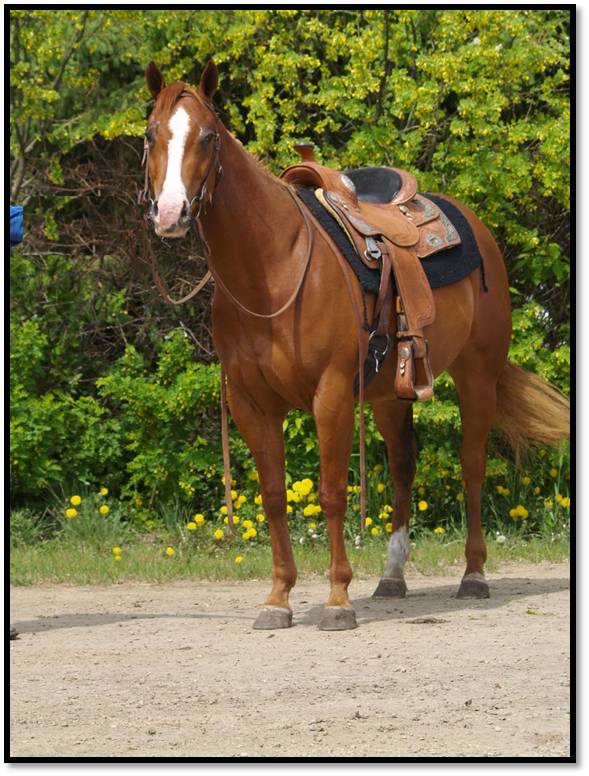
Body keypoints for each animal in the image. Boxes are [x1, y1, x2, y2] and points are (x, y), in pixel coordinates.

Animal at [141, 60, 569, 630]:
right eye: (151, 135)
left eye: (209, 136)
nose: (170, 214)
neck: (272, 268)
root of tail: (476, 227)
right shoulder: (251, 403)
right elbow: (273, 496)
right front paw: (278, 598)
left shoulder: (332, 393)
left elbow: (331, 493)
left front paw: (338, 599)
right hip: (391, 393)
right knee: (404, 467)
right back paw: (392, 577)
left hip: (477, 375)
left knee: (472, 465)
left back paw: (474, 576)